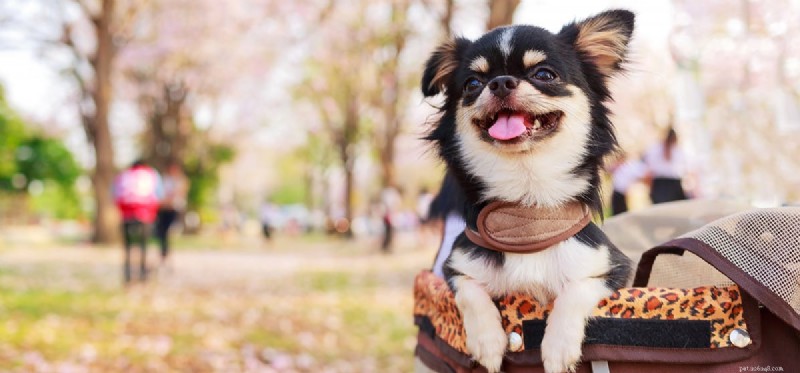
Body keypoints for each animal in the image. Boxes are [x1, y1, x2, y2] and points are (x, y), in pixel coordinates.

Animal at [422, 9, 636, 372]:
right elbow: (470, 292)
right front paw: (488, 342)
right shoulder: (456, 268)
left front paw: (558, 346)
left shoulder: (612, 268)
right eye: (473, 84)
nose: (501, 82)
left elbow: (576, 289)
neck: (525, 209)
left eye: (544, 74)